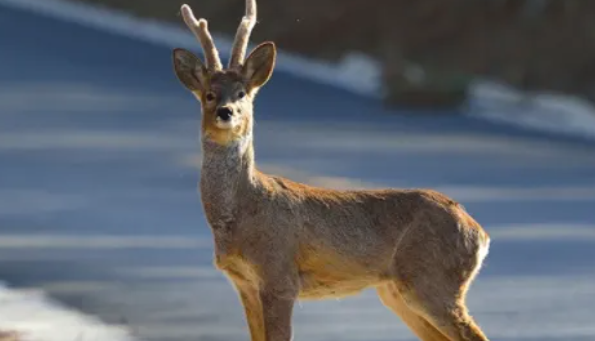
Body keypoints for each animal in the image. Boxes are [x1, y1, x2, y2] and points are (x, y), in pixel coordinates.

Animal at [170, 1, 492, 338]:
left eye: (242, 93)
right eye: (209, 94)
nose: (226, 112)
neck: (244, 210)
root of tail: (480, 234)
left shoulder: (279, 275)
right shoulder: (243, 282)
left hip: (433, 281)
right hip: (397, 290)